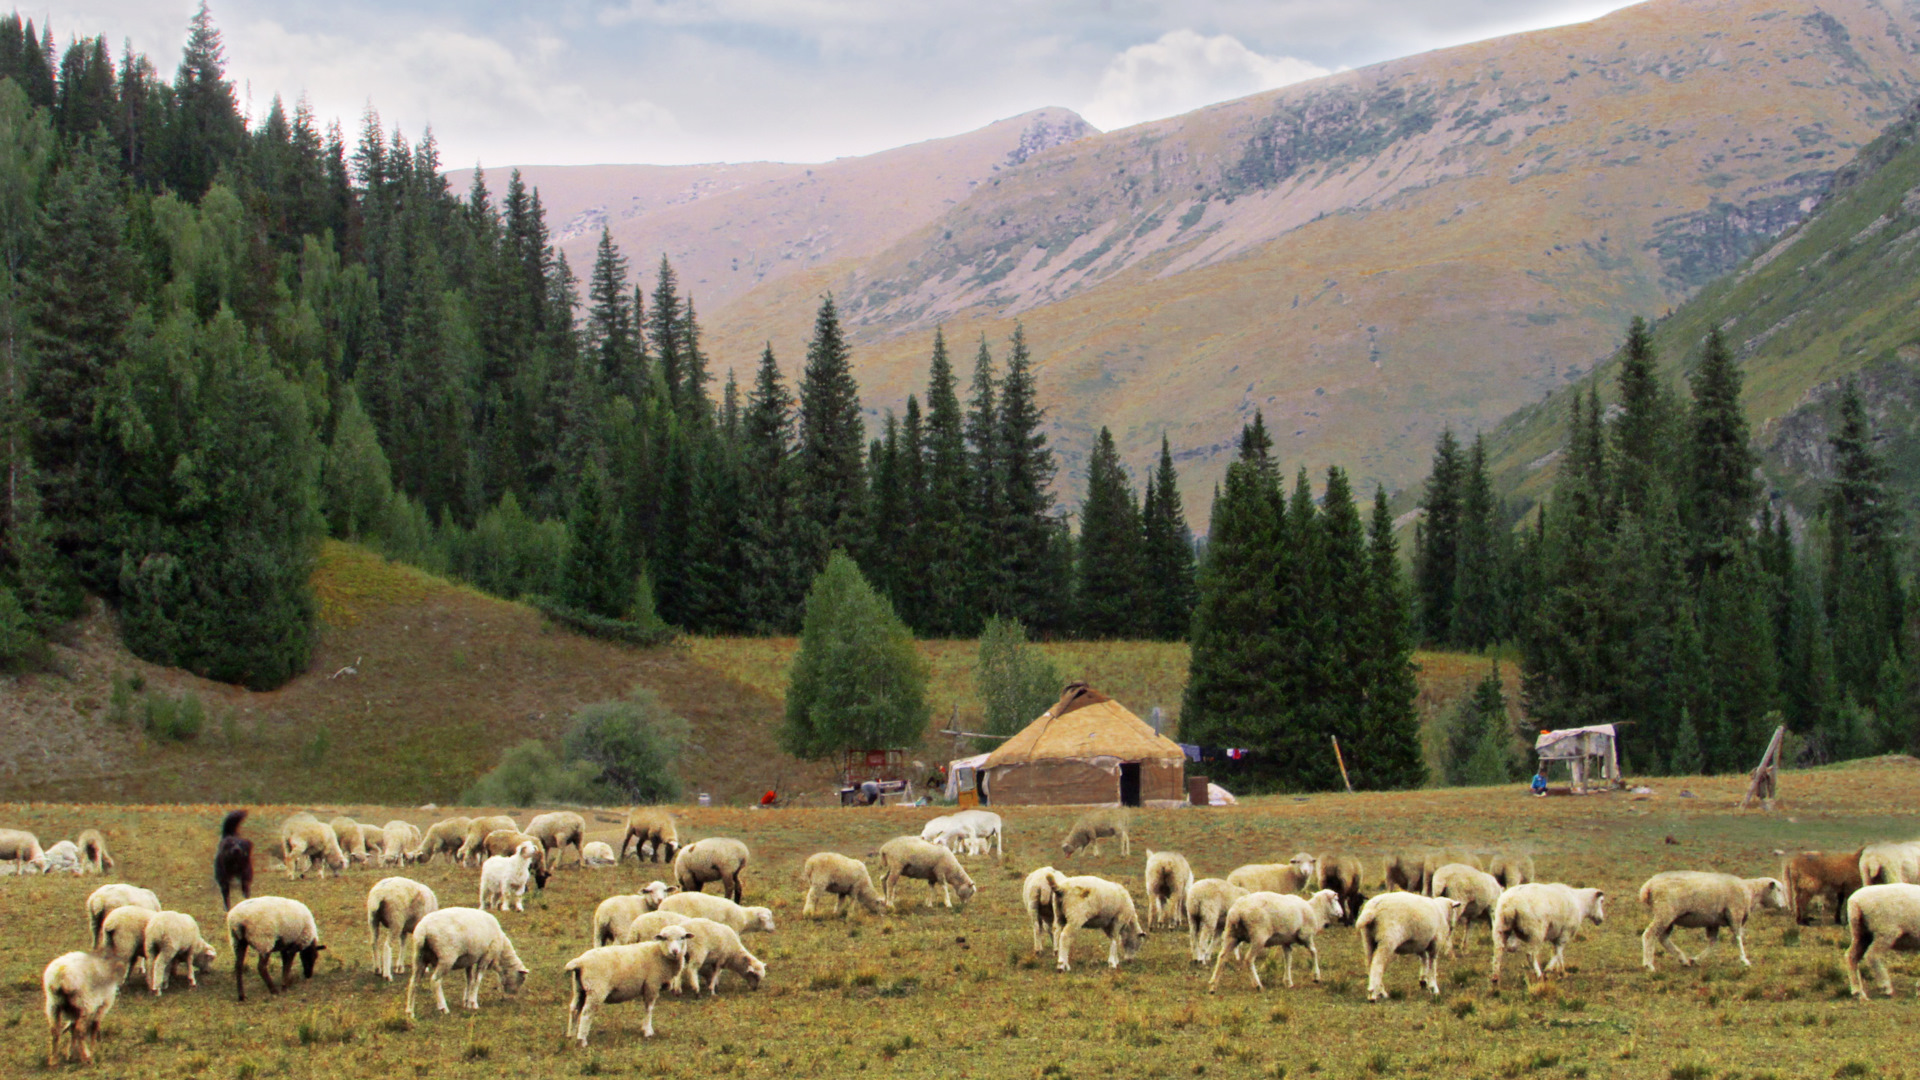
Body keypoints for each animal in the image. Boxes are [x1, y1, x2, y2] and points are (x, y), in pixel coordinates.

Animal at [560, 933, 691, 1045]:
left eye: (682, 937)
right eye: (665, 938)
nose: (675, 951)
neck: (660, 954)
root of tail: (580, 962)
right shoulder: (651, 985)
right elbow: (649, 1009)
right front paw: (648, 1031)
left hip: (580, 988)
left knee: (574, 1008)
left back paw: (571, 1035)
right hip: (595, 990)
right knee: (586, 1013)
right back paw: (582, 1041)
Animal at [1205, 887, 1344, 991]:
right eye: (1336, 899)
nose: (1341, 913)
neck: (1315, 911)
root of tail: (1237, 911)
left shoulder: (1286, 941)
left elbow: (1288, 959)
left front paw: (1288, 982)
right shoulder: (1306, 936)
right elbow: (1314, 952)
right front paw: (1316, 977)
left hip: (1232, 934)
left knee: (1222, 956)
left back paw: (1213, 985)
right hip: (1258, 936)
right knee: (1249, 959)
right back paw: (1258, 985)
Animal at [1635, 864, 1781, 968]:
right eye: (1779, 890)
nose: (1783, 906)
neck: (1750, 891)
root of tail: (1647, 887)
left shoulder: (1713, 922)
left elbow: (1713, 943)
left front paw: (1695, 960)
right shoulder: (1735, 914)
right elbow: (1738, 938)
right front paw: (1745, 960)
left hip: (1669, 916)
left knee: (1662, 938)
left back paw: (1683, 959)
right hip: (1665, 912)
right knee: (1649, 934)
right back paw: (1648, 965)